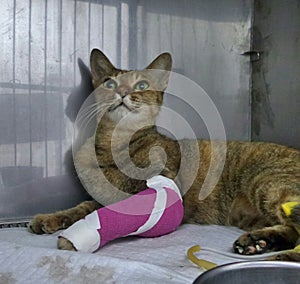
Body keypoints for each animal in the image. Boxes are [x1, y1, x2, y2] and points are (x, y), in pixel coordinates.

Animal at [28, 49, 300, 262]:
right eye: (110, 83)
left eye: (141, 85)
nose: (122, 92)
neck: (113, 146)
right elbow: (83, 205)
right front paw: (53, 218)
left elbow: (99, 207)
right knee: (292, 231)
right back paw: (258, 243)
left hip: (268, 184)